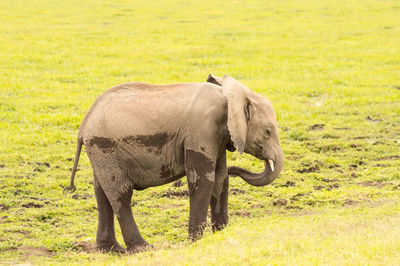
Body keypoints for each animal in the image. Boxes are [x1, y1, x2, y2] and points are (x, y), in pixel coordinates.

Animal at [65, 74, 284, 254]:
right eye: (268, 132)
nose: (235, 170)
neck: (229, 97)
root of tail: (83, 126)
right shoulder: (202, 131)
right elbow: (202, 180)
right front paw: (196, 243)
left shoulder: (218, 137)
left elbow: (220, 179)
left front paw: (221, 236)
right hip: (105, 148)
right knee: (121, 193)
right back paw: (142, 249)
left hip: (101, 153)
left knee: (101, 193)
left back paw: (111, 250)